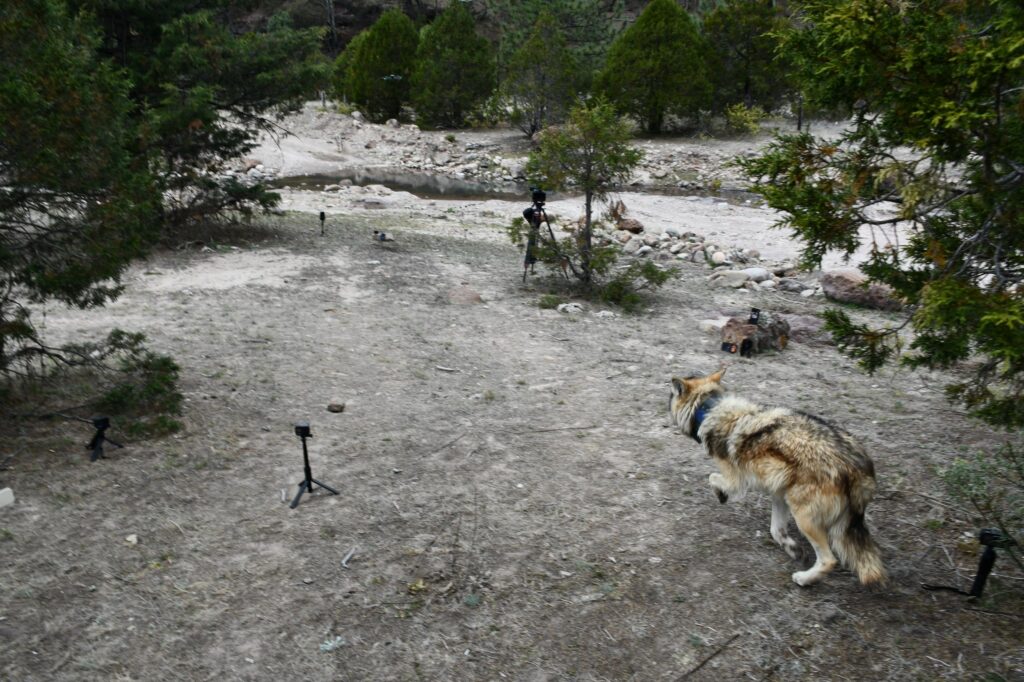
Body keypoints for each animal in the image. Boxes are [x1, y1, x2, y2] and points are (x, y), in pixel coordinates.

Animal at [669, 369, 886, 586]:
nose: (667, 394)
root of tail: (855, 467)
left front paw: (721, 495)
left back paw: (803, 579)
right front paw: (793, 549)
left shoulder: (736, 481)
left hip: (804, 518)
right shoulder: (779, 495)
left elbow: (712, 478)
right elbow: (776, 530)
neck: (709, 409)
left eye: (672, 394)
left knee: (829, 560)